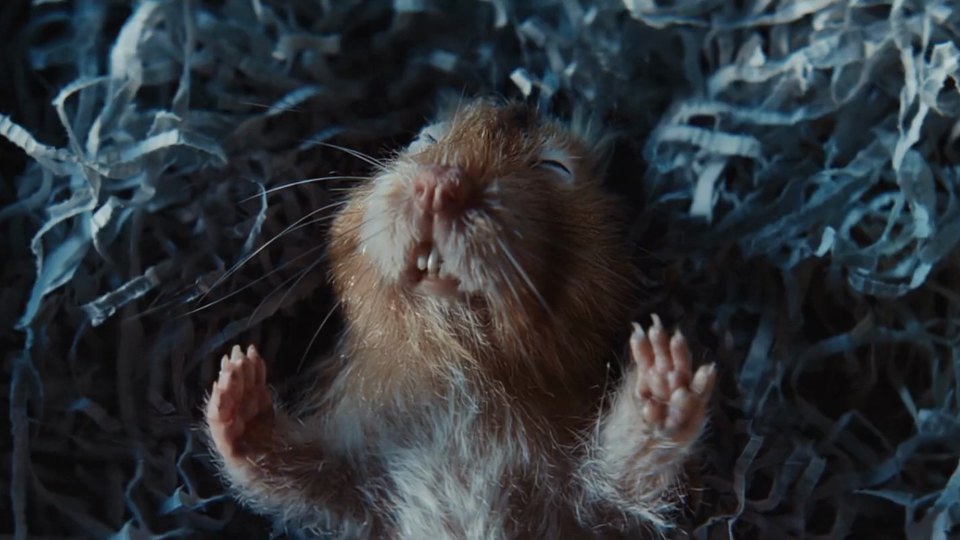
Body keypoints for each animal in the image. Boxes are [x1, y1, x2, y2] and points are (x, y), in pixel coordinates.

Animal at [203, 99, 716, 539]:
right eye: (422, 139)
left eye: (555, 168)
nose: (438, 184)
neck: (461, 376)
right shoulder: (359, 483)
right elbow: (294, 478)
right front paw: (237, 382)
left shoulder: (592, 502)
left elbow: (628, 471)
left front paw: (664, 372)